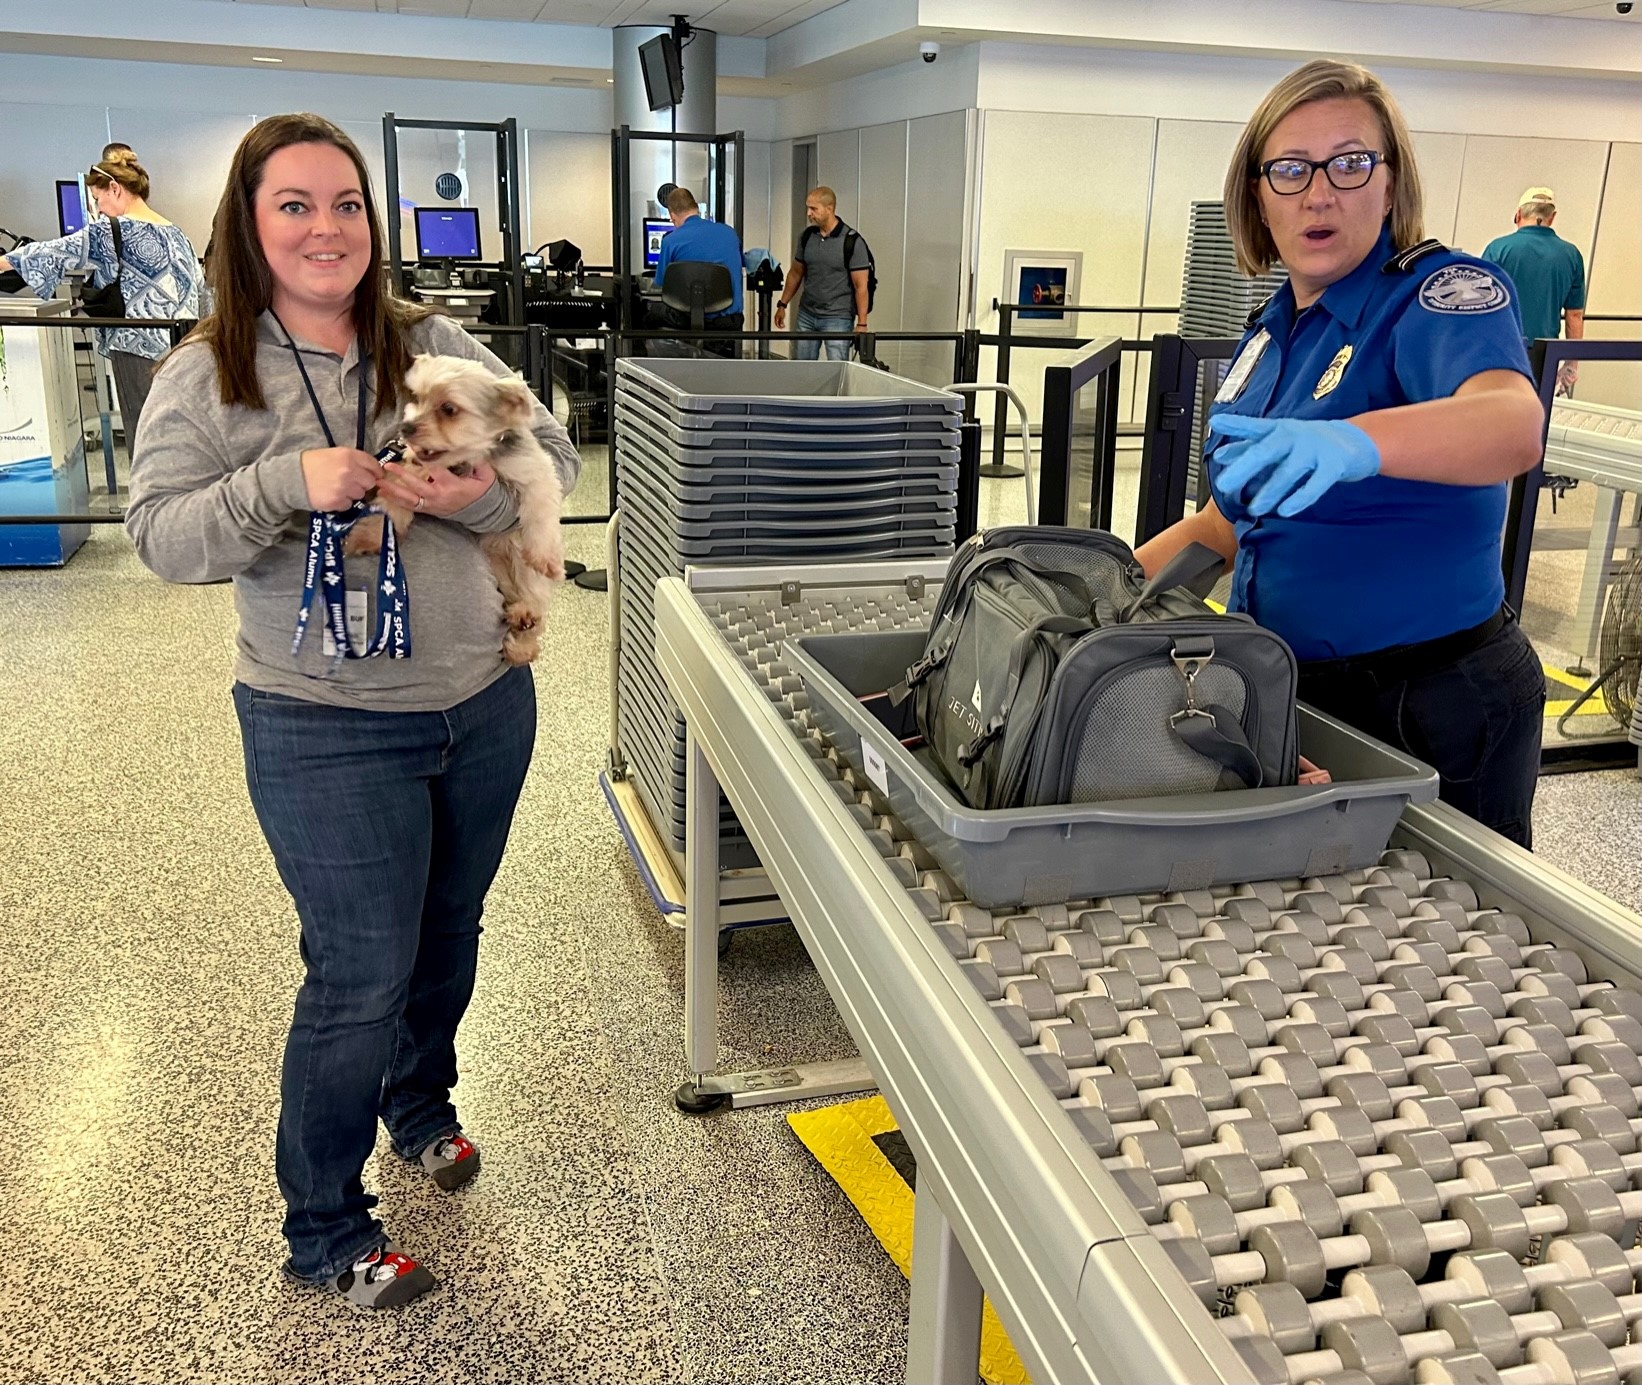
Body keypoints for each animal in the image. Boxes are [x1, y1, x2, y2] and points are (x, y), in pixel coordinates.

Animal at [349, 354, 568, 663]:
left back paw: (525, 626)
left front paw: (545, 557)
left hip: (518, 560)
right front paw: (369, 535)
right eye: (417, 398)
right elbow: (390, 504)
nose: (407, 428)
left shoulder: (534, 472)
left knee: (533, 596)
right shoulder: (409, 473)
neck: (468, 459)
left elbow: (539, 511)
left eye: (448, 409)